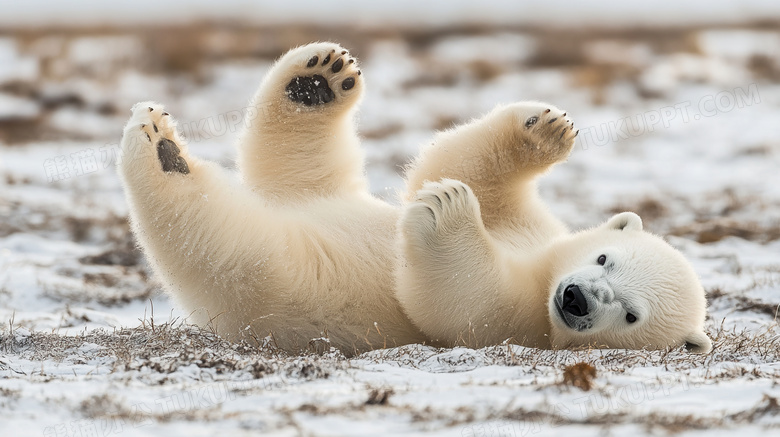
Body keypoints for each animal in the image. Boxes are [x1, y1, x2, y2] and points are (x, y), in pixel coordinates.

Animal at [400, 103, 708, 354]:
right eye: (603, 259)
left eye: (631, 316)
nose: (576, 298)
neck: (545, 284)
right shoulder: (532, 226)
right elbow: (464, 169)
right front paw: (548, 130)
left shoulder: (519, 326)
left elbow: (470, 302)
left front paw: (448, 205)